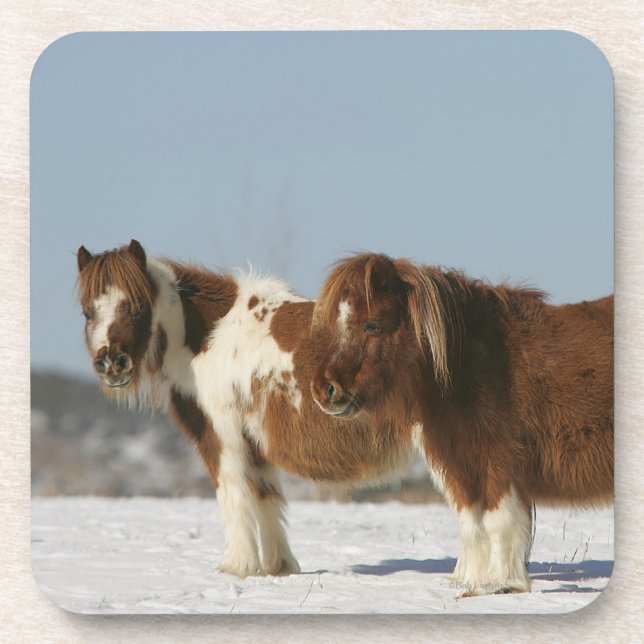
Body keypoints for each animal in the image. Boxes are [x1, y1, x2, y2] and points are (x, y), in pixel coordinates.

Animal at [76, 240, 419, 579]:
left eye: (137, 306)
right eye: (88, 312)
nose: (112, 363)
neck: (210, 337)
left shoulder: (223, 437)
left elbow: (234, 495)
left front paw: (237, 566)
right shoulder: (254, 444)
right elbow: (265, 497)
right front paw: (278, 567)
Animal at [310, 252, 613, 596]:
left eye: (371, 324)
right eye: (335, 324)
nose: (324, 389)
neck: (472, 364)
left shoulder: (499, 462)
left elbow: (497, 521)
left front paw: (501, 583)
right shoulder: (459, 466)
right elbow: (471, 522)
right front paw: (470, 580)